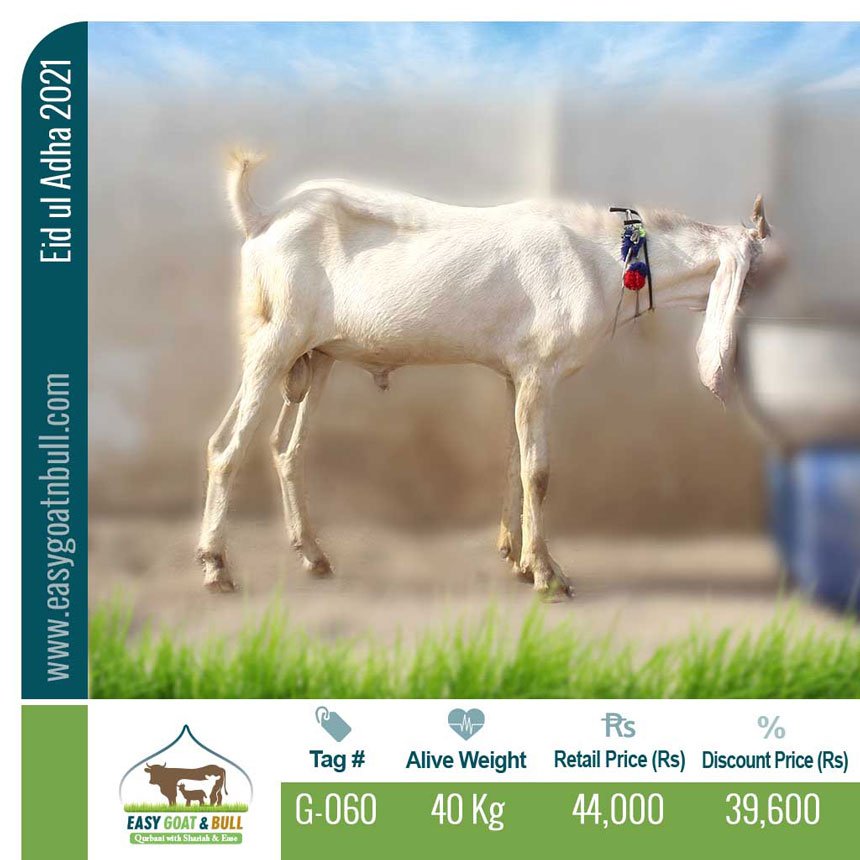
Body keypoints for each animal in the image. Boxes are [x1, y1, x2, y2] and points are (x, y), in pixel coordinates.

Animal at [197, 151, 780, 598]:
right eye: (769, 267)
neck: (604, 262)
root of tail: (263, 217)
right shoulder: (541, 370)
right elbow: (538, 470)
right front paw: (548, 574)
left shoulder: (514, 374)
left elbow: (512, 459)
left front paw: (516, 558)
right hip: (274, 336)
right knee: (226, 445)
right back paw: (216, 566)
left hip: (317, 354)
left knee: (285, 447)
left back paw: (313, 555)